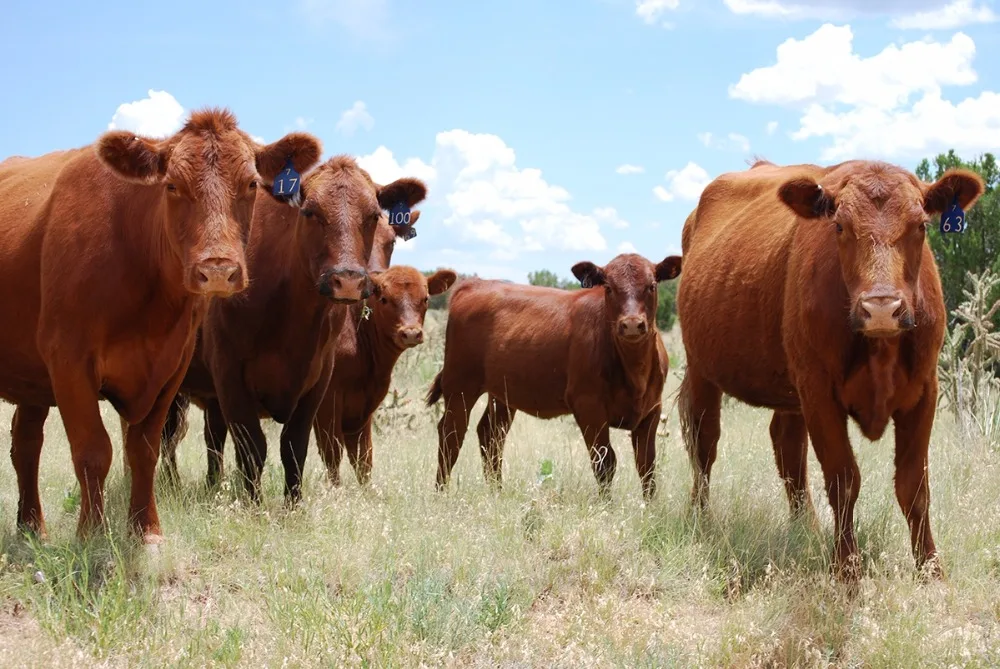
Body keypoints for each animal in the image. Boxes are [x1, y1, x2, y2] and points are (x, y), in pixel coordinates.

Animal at [0, 109, 322, 543]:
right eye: (171, 185)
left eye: (252, 184)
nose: (217, 269)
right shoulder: (68, 360)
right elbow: (93, 450)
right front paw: (92, 533)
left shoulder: (171, 367)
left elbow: (146, 449)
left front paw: (146, 530)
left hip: (31, 380)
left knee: (26, 441)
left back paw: (31, 526)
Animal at [156, 156, 429, 502]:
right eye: (310, 212)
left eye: (373, 217)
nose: (349, 280)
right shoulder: (231, 375)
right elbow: (253, 449)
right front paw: (254, 505)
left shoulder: (318, 380)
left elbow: (294, 448)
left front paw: (293, 506)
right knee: (167, 435)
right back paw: (170, 484)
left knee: (212, 437)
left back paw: (213, 485)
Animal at [313, 264, 457, 485]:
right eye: (384, 299)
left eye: (425, 298)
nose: (411, 333)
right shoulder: (327, 404)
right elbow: (332, 454)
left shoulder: (363, 409)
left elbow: (363, 458)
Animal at [426, 252, 682, 498]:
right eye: (608, 287)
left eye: (652, 286)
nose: (631, 324)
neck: (635, 369)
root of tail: (474, 284)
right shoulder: (588, 407)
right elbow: (605, 463)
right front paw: (606, 506)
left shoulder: (652, 410)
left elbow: (647, 466)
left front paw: (650, 507)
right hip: (460, 385)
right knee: (451, 434)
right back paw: (440, 493)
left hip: (502, 394)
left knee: (491, 435)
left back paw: (496, 492)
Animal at [676, 158, 985, 581]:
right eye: (839, 226)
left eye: (921, 225)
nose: (881, 308)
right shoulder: (819, 392)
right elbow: (843, 480)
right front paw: (846, 570)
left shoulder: (925, 391)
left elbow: (914, 486)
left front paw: (930, 571)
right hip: (701, 369)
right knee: (703, 443)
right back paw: (700, 519)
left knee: (787, 446)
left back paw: (804, 527)